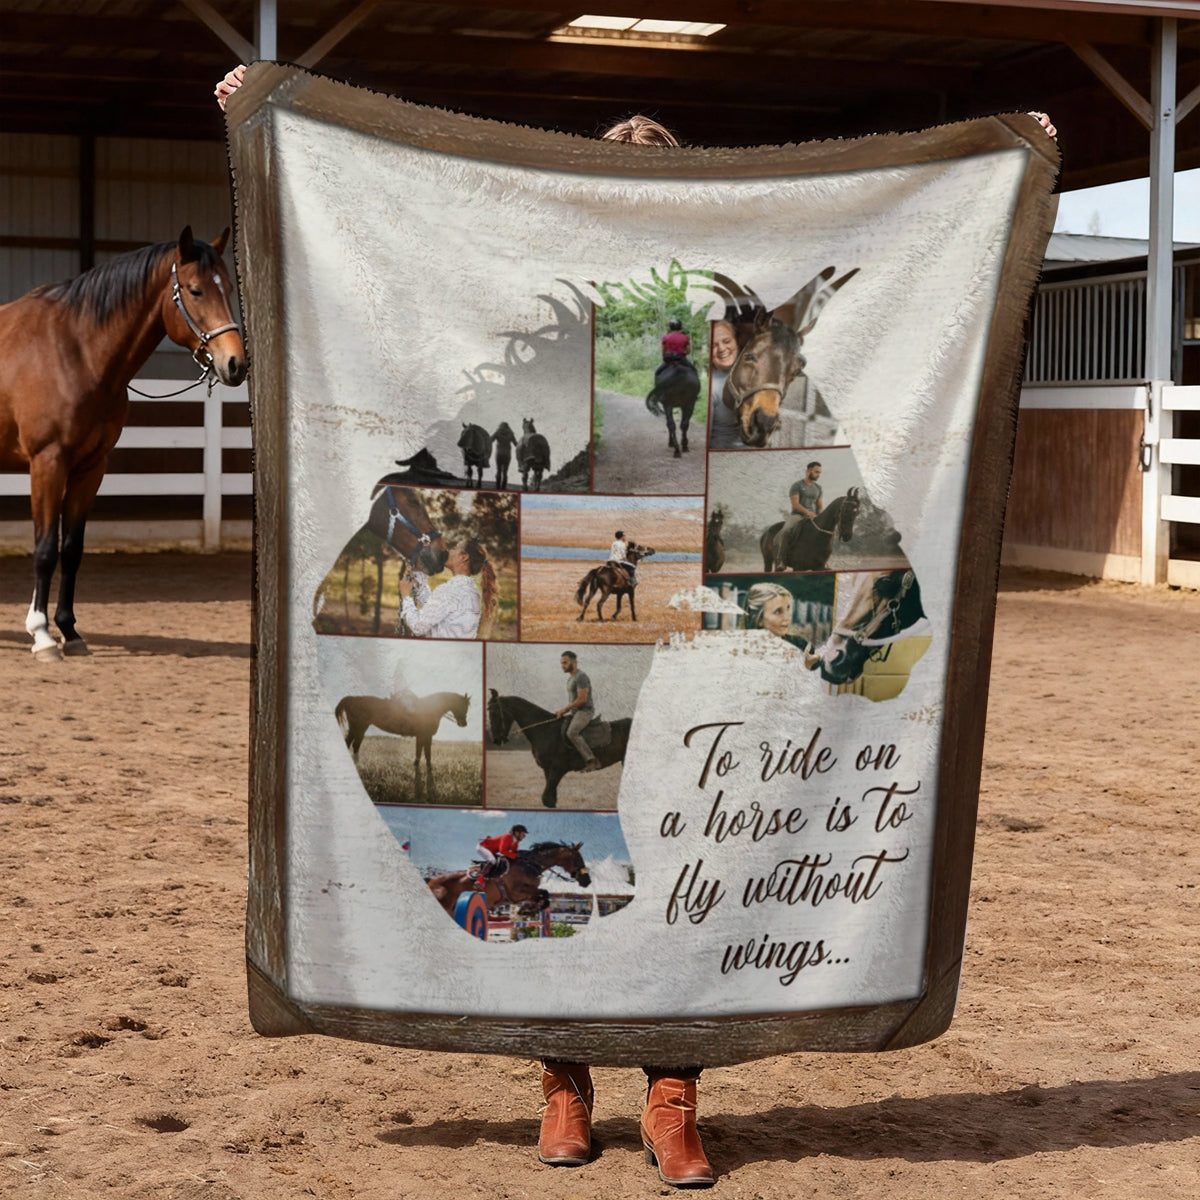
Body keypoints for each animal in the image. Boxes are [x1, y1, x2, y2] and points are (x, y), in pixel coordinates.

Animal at [0, 227, 245, 659]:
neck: (74, 352)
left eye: (228, 287)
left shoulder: (90, 468)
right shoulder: (47, 463)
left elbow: (72, 549)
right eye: (196, 290)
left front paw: (70, 631)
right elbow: (45, 549)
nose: (236, 364)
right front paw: (42, 635)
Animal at [335, 690, 470, 801]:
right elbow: (426, 752)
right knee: (354, 744)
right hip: (360, 727)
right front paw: (427, 768)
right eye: (462, 705)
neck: (430, 708)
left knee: (352, 743)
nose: (463, 723)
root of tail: (353, 699)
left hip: (359, 728)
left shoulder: (422, 736)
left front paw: (417, 765)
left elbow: (420, 751)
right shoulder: (425, 735)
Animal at [427, 840, 591, 918]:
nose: (587, 881)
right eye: (578, 859)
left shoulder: (527, 895)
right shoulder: (518, 892)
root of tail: (430, 882)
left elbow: (545, 897)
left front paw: (526, 911)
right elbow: (544, 894)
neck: (531, 864)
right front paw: (525, 911)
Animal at [487, 690, 632, 808]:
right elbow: (550, 801)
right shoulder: (547, 770)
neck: (545, 730)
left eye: (494, 712)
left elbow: (547, 799)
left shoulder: (558, 768)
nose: (496, 740)